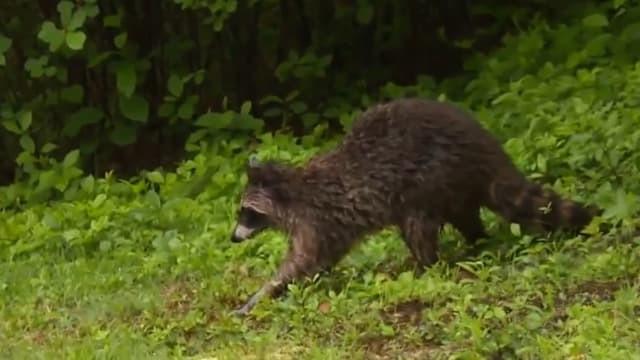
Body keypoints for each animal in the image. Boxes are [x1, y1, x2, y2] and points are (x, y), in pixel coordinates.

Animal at [230, 97, 600, 316]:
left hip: (431, 176)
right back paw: (476, 242)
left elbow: (304, 261)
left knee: (417, 224)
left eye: (247, 212)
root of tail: (485, 148)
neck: (291, 188)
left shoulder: (316, 220)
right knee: (464, 217)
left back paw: (425, 264)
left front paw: (263, 293)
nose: (233, 238)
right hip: (452, 185)